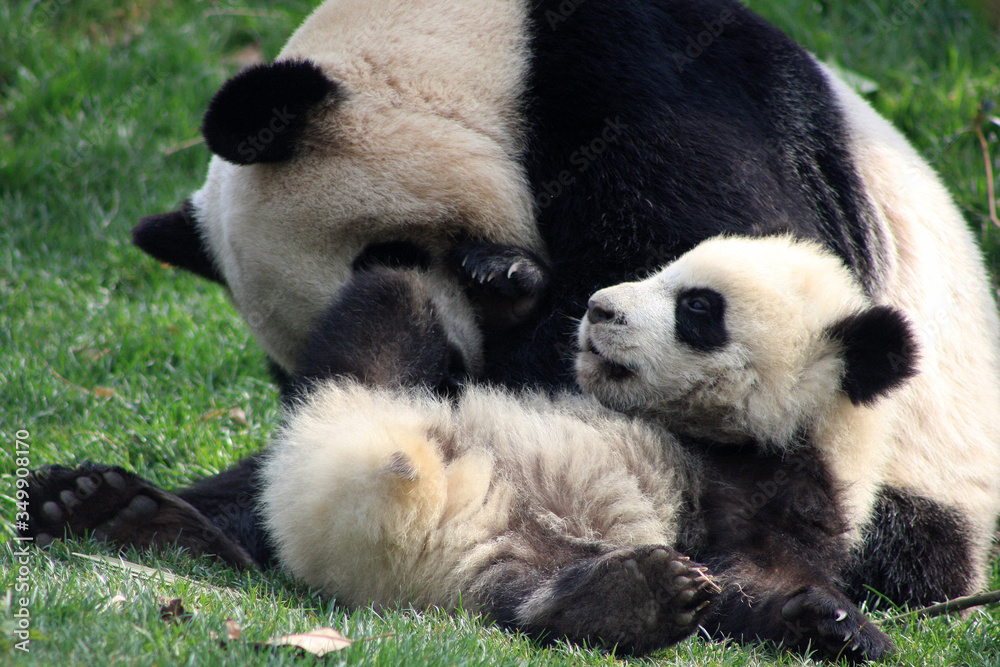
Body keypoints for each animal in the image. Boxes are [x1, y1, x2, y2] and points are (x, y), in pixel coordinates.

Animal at [31, 0, 1000, 612]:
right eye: (281, 365)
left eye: (382, 251)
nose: (452, 369)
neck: (495, 46)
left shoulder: (649, 80)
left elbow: (725, 243)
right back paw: (112, 505)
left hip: (919, 476)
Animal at [260, 235, 913, 660]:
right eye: (662, 270)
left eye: (698, 307)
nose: (600, 308)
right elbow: (502, 357)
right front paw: (503, 276)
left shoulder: (783, 486)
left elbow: (753, 574)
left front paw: (836, 624)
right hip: (374, 391)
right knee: (391, 306)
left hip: (505, 558)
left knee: (530, 600)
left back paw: (633, 598)